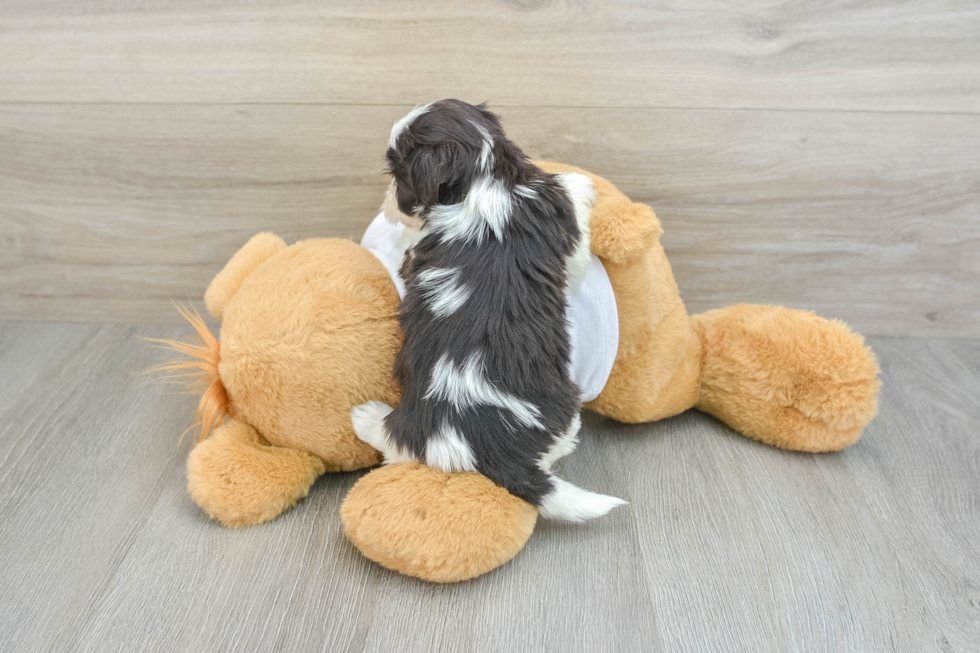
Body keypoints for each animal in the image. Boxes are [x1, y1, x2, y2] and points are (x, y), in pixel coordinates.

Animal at [356, 100, 624, 520]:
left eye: (397, 176)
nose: (388, 203)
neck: (481, 183)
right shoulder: (564, 231)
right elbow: (576, 238)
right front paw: (581, 184)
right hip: (563, 410)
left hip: (412, 433)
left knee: (399, 445)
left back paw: (369, 421)